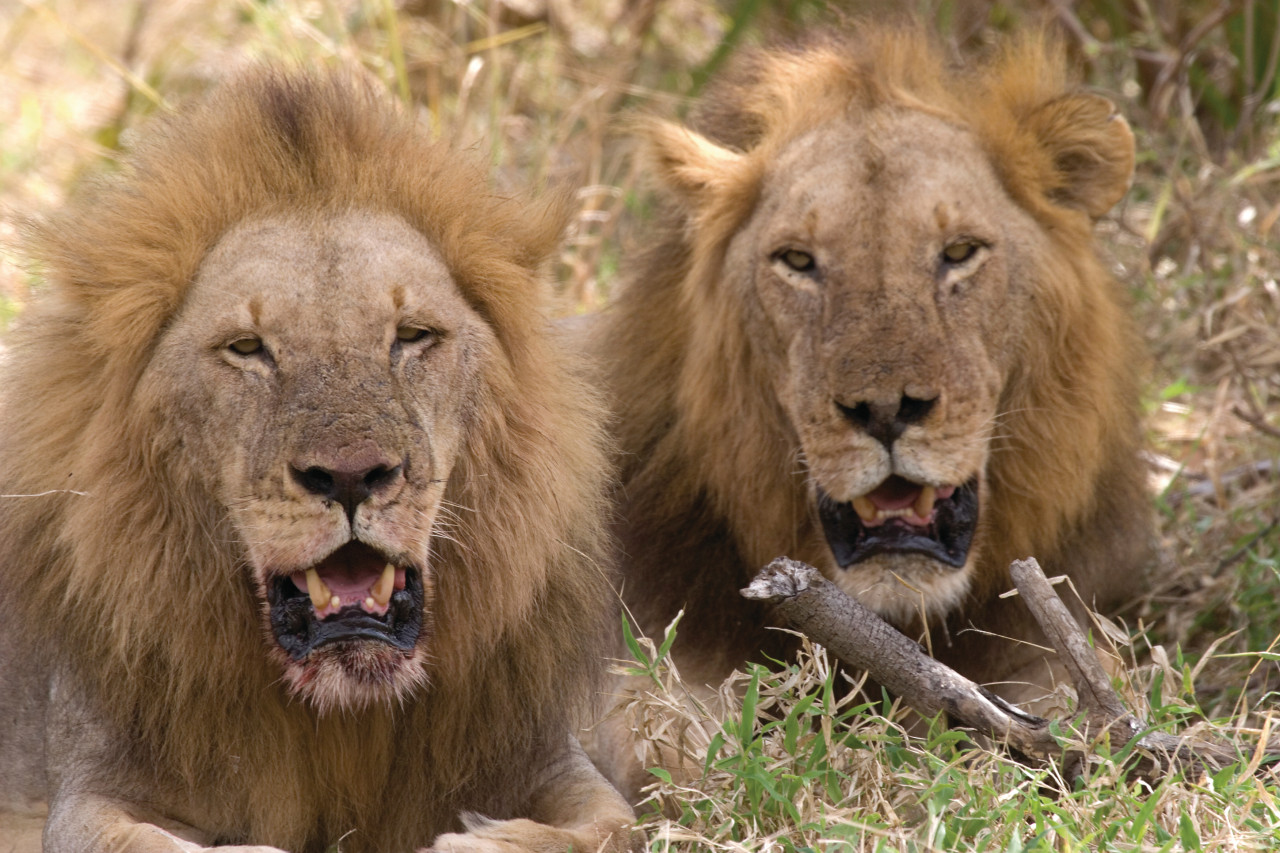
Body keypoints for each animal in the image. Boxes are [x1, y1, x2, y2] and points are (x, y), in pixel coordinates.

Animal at [0, 66, 637, 850]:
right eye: (247, 348)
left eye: (412, 336)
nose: (352, 476)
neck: (341, 714)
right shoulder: (87, 788)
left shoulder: (548, 757)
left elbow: (615, 824)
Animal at [593, 24, 1157, 799]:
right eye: (798, 260)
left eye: (959, 252)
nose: (887, 409)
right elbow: (667, 743)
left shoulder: (1053, 634)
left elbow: (1094, 708)